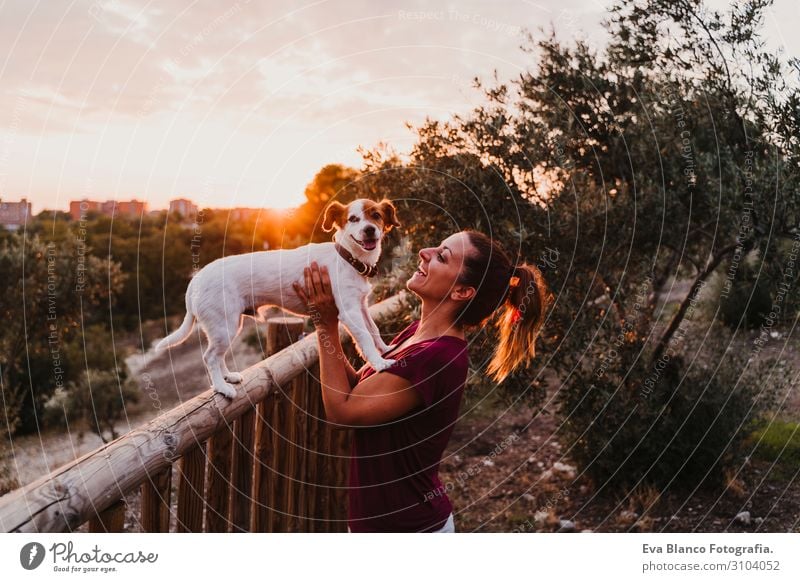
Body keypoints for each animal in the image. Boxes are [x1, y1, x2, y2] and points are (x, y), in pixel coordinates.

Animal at [157, 198, 404, 400]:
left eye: (376, 216)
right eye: (353, 219)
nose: (369, 230)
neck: (348, 258)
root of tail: (195, 281)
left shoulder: (361, 306)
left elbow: (373, 329)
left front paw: (385, 348)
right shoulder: (349, 311)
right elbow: (365, 338)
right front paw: (379, 362)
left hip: (226, 327)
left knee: (217, 357)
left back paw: (228, 378)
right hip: (224, 326)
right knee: (209, 357)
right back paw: (222, 388)